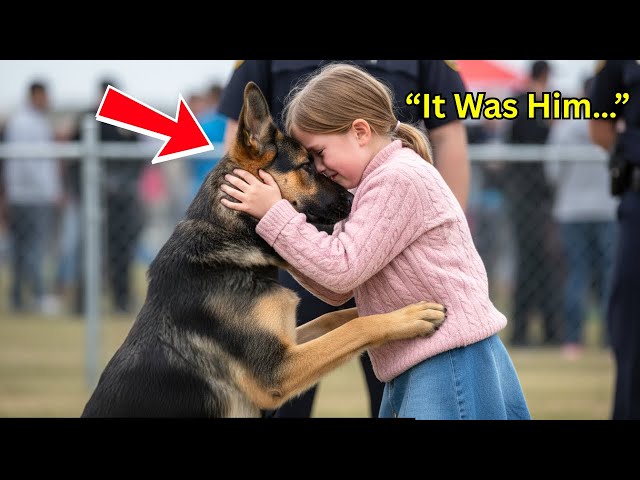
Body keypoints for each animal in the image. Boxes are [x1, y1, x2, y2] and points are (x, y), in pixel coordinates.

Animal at [81, 82, 446, 418]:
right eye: (307, 166)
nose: (353, 200)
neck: (229, 243)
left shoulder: (289, 345)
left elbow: (337, 317)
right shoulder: (277, 370)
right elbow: (354, 328)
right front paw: (409, 317)